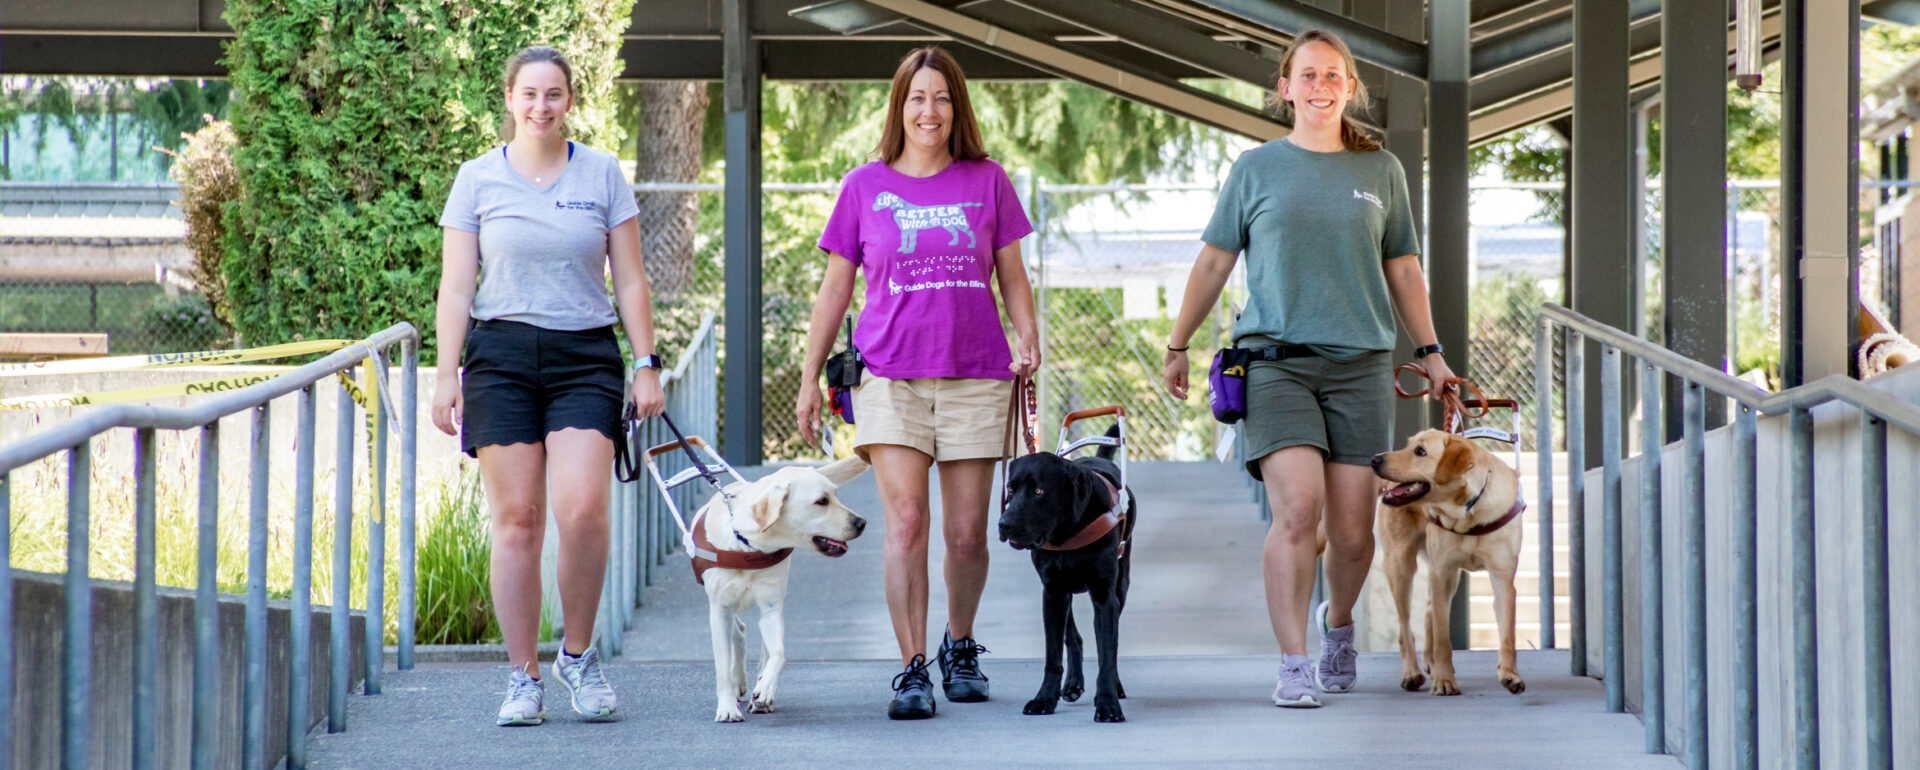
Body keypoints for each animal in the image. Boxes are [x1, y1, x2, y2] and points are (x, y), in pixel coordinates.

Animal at [1367, 428, 1528, 691]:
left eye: (1420, 451)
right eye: (1408, 445)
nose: (1374, 459)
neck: (1468, 513)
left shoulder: (1502, 578)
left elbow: (1507, 635)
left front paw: (1510, 675)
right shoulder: (1440, 572)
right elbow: (1443, 638)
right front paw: (1444, 681)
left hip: (1450, 576)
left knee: (1429, 609)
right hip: (1401, 565)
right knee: (1405, 627)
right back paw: (1412, 672)